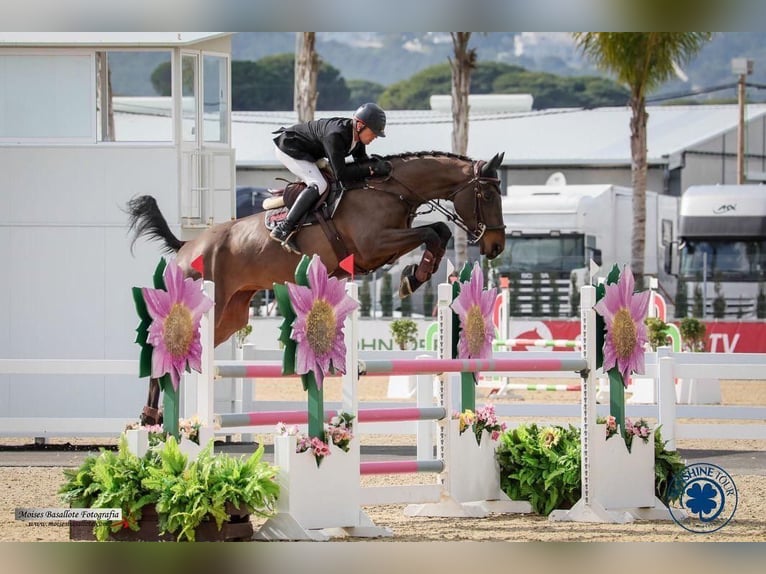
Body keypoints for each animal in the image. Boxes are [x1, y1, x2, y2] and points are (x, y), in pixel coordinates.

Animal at [127, 151, 510, 348]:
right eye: (490, 195)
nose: (496, 245)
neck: (392, 189)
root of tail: (187, 246)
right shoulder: (375, 245)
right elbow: (433, 231)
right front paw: (412, 277)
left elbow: (438, 231)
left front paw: (414, 275)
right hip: (209, 302)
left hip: (232, 314)